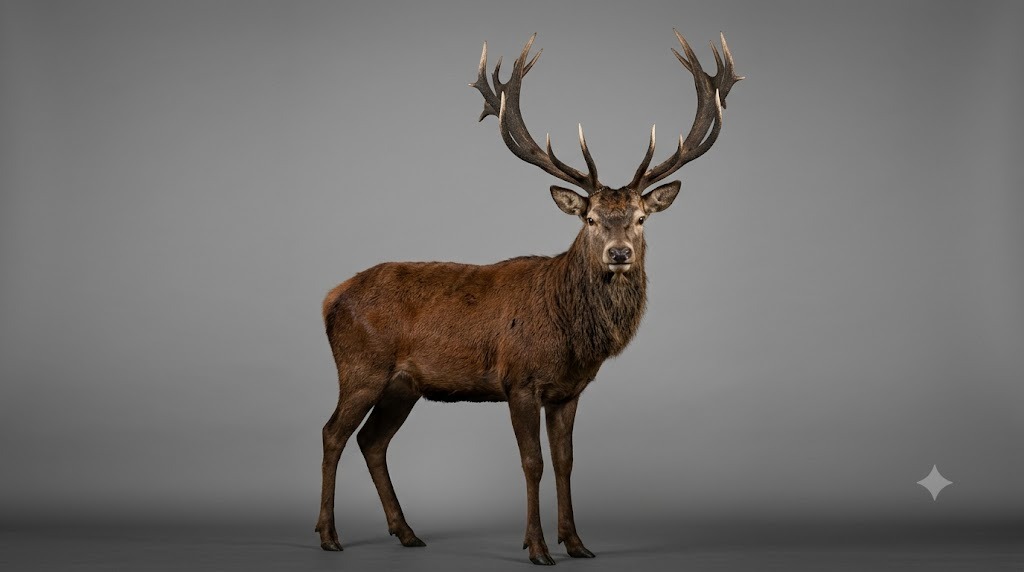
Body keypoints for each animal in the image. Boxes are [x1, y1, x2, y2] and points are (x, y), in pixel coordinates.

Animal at [315, 30, 742, 565]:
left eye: (642, 218)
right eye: (590, 218)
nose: (619, 253)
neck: (571, 333)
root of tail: (329, 298)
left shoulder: (569, 390)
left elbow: (566, 461)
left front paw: (576, 543)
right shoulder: (518, 379)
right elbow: (532, 461)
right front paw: (537, 547)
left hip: (402, 386)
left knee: (372, 441)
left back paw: (406, 531)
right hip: (360, 367)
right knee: (333, 433)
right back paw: (329, 535)